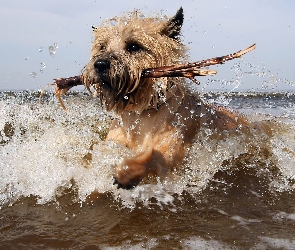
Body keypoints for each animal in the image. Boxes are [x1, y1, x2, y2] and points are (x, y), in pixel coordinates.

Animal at [80, 6, 247, 188]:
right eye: (102, 47)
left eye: (134, 46)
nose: (100, 64)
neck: (141, 114)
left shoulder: (173, 152)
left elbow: (154, 156)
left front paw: (126, 172)